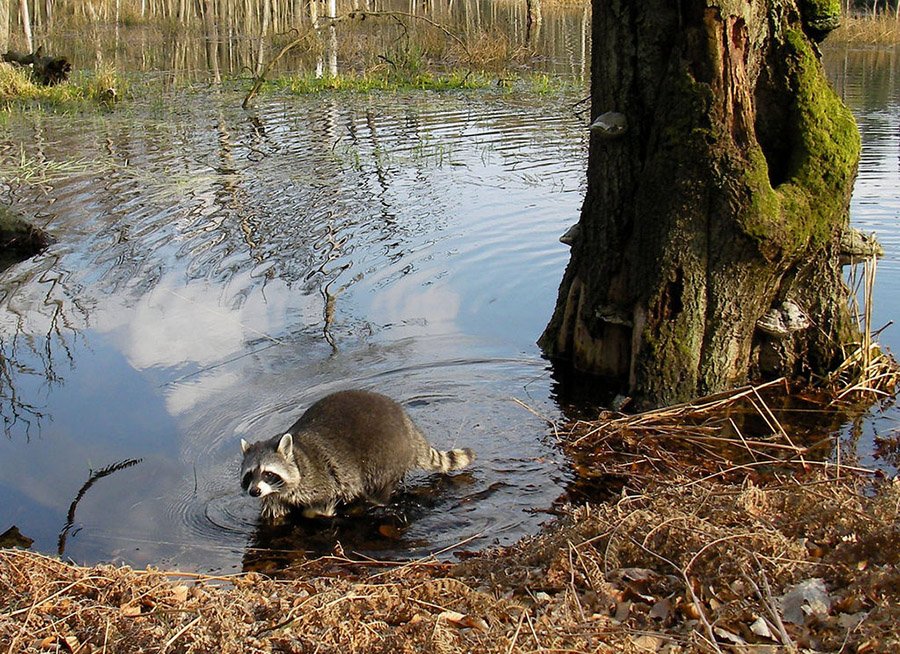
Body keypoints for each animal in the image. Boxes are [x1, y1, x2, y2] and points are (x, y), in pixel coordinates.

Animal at [240, 389, 475, 522]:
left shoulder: (321, 478)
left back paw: (375, 500)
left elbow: (323, 503)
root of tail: (409, 426)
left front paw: (316, 513)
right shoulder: (274, 495)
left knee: (378, 485)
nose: (254, 491)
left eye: (268, 473)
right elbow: (274, 513)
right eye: (249, 475)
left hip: (385, 454)